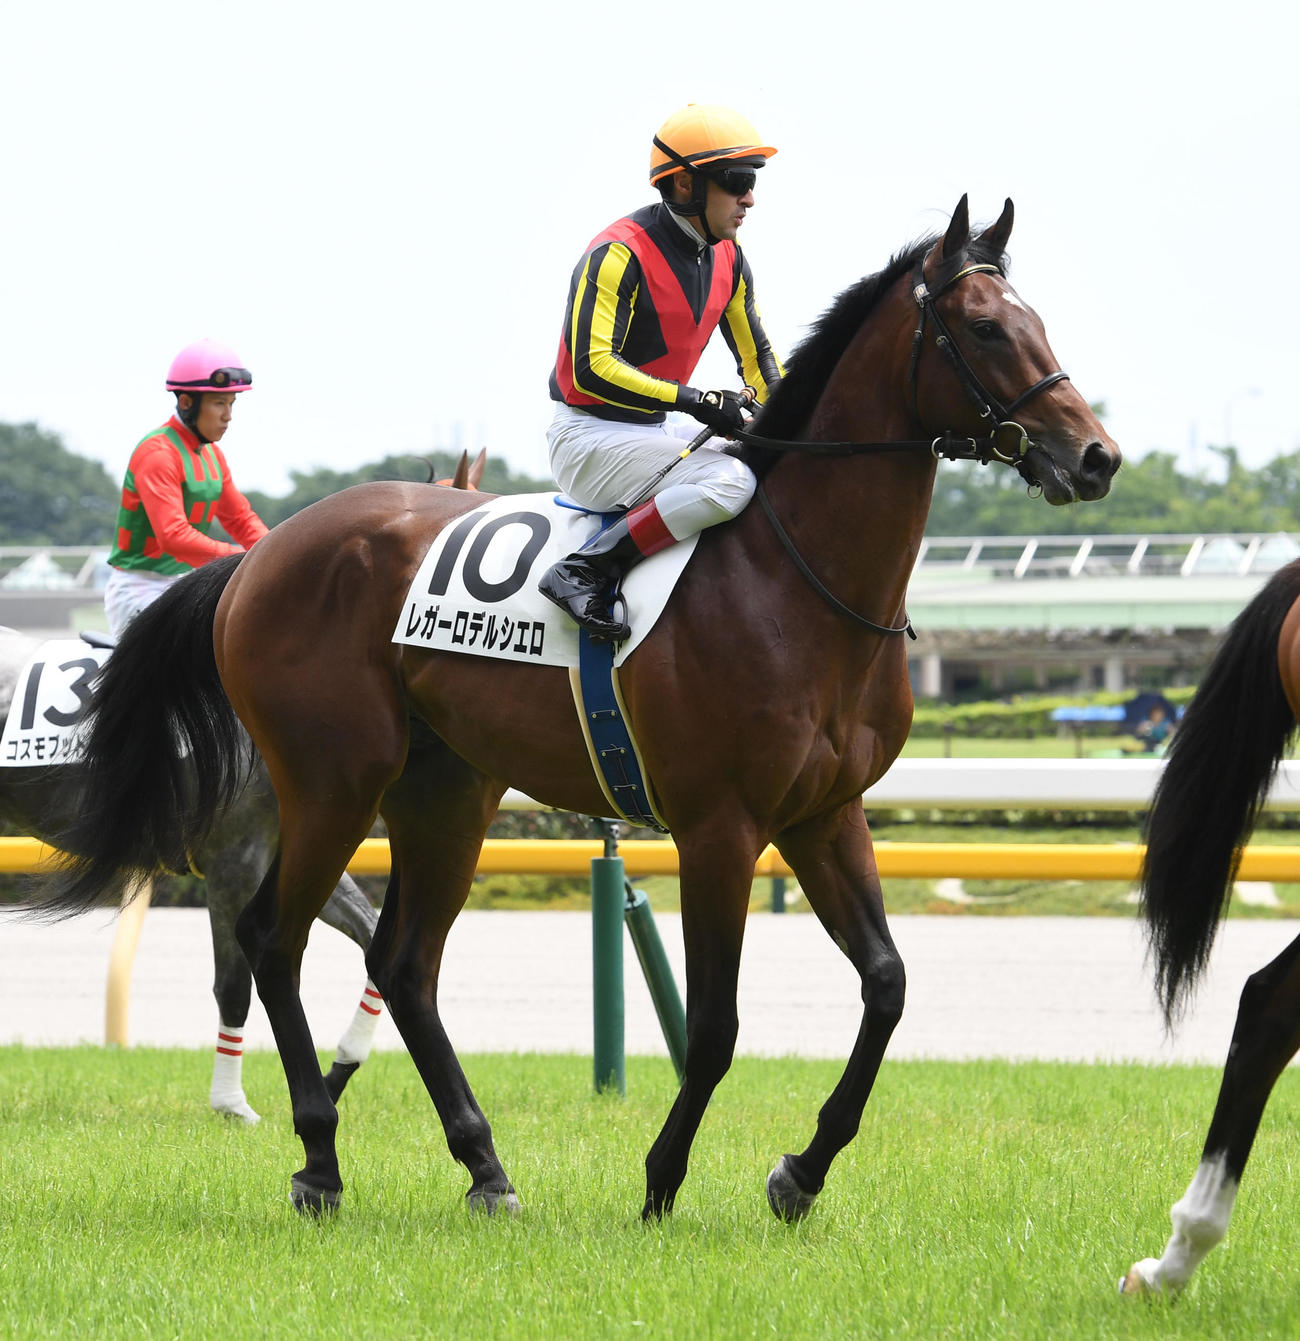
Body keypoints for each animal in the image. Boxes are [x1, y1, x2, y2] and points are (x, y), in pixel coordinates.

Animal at [43, 195, 1120, 1217]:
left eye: (1035, 320)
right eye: (983, 327)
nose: (1096, 456)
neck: (793, 577)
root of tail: (259, 557)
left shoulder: (824, 813)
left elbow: (887, 985)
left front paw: (800, 1173)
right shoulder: (719, 825)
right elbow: (715, 1026)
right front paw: (662, 1180)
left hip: (447, 790)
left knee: (404, 963)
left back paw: (485, 1167)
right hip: (332, 780)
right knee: (274, 938)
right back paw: (319, 1160)